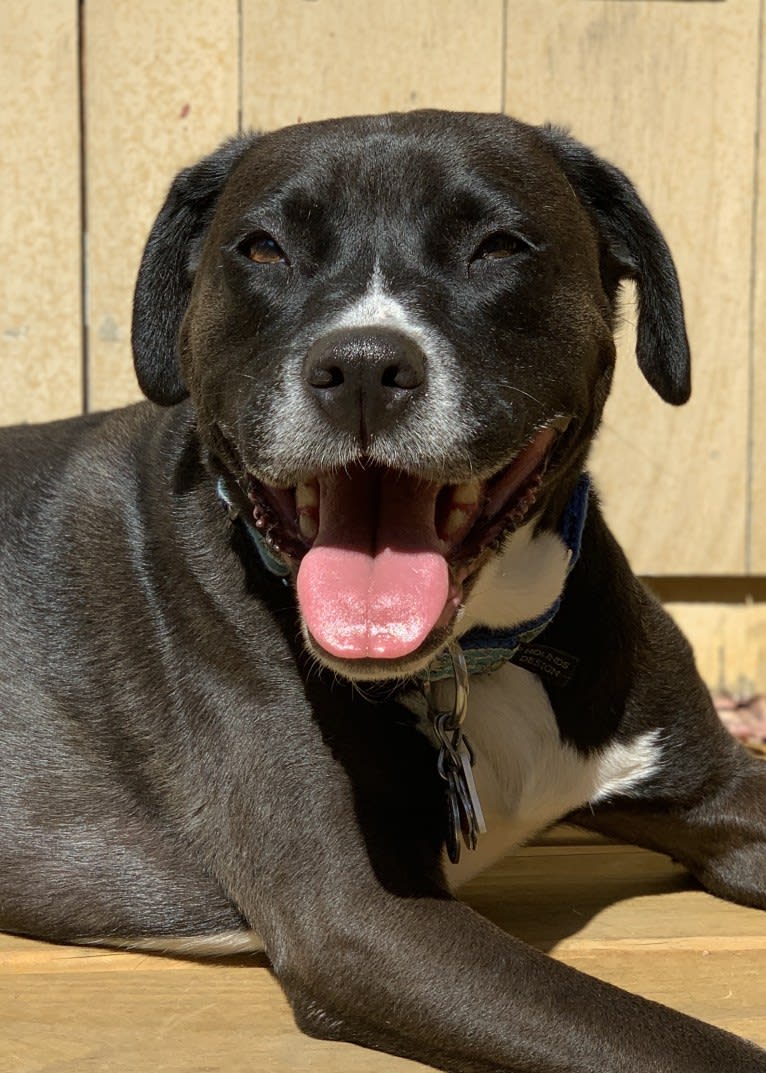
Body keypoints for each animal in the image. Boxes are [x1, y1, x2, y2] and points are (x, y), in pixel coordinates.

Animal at [1, 113, 763, 1068]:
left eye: (499, 245)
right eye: (263, 248)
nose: (362, 367)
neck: (470, 659)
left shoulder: (717, 789)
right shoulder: (366, 921)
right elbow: (677, 1043)